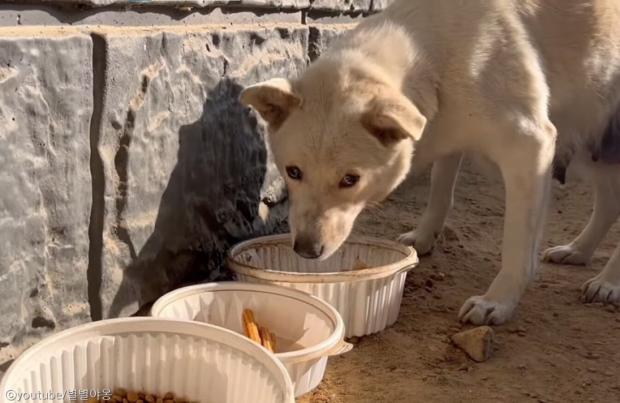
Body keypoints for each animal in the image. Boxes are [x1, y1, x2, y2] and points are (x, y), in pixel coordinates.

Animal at [241, 0, 620, 326]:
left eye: (351, 180)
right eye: (293, 172)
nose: (306, 250)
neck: (432, 53)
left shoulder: (531, 147)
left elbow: (516, 246)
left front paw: (497, 301)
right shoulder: (448, 130)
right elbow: (440, 191)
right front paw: (424, 237)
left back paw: (608, 282)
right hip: (594, 146)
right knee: (609, 203)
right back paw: (579, 251)